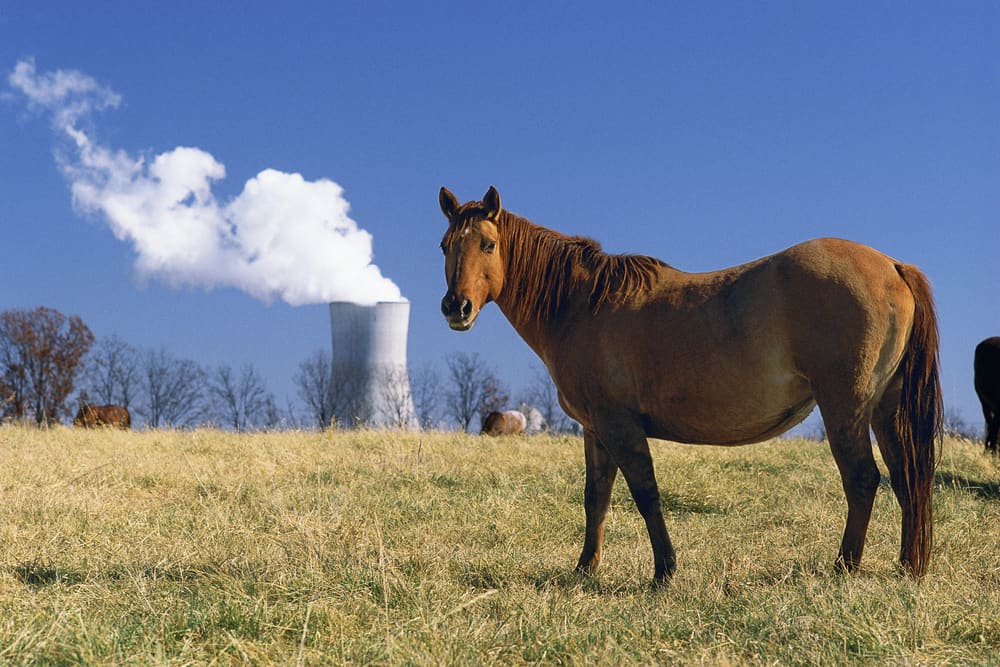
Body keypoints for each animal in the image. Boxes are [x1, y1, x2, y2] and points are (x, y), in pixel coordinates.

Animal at [436, 185, 936, 580]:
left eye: (487, 244)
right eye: (444, 246)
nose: (456, 307)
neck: (582, 306)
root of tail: (893, 265)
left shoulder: (619, 425)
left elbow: (645, 494)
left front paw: (664, 571)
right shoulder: (595, 429)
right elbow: (596, 497)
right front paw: (585, 569)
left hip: (844, 408)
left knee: (863, 479)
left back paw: (844, 568)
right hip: (885, 410)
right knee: (906, 477)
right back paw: (907, 568)